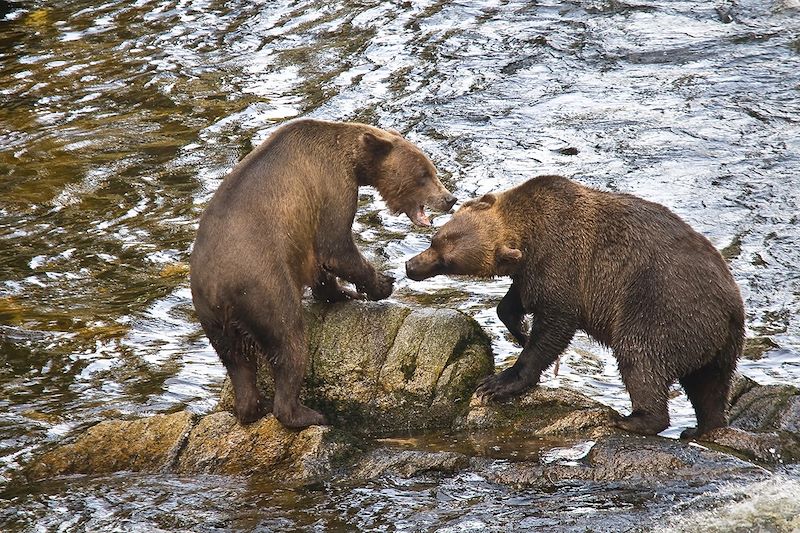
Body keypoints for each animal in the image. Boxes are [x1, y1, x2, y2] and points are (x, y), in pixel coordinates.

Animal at [191, 119, 456, 428]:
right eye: (423, 174)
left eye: (432, 169)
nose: (450, 198)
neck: (353, 161)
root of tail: (218, 289)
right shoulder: (330, 186)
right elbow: (335, 246)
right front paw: (381, 284)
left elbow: (322, 267)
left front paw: (343, 292)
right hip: (264, 287)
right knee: (289, 342)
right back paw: (305, 413)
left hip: (213, 320)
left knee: (236, 361)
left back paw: (250, 408)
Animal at [406, 175, 744, 436]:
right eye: (436, 239)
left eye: (447, 261)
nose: (411, 266)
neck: (529, 233)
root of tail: (730, 305)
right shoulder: (532, 271)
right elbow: (515, 301)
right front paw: (519, 329)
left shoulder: (564, 265)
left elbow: (553, 327)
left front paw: (497, 382)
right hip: (718, 341)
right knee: (710, 386)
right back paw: (702, 427)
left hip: (662, 306)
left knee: (640, 357)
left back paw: (634, 419)